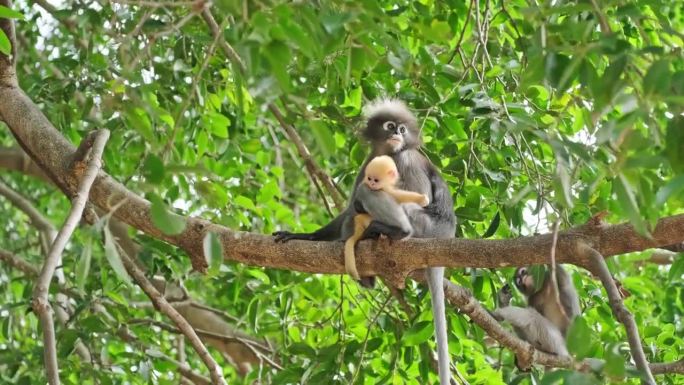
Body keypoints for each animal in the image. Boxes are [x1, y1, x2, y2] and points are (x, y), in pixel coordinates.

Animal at [272, 100, 454, 384]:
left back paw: (390, 232)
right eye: (390, 126)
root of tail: (447, 235)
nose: (397, 133)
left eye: (402, 129)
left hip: (426, 228)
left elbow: (418, 195)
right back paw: (367, 273)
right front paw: (305, 235)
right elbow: (349, 208)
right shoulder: (367, 163)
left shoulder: (407, 159)